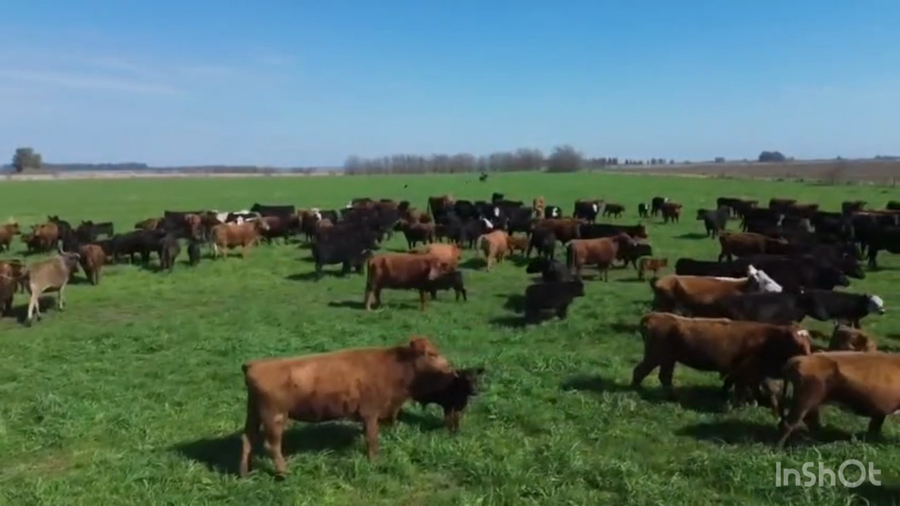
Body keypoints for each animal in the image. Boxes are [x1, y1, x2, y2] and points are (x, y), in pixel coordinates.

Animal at [238, 336, 454, 477]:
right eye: (431, 354)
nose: (450, 367)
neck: (392, 366)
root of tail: (254, 365)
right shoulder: (370, 412)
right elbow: (372, 439)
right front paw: (375, 462)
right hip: (274, 417)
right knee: (272, 446)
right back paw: (283, 473)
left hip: (254, 414)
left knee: (247, 439)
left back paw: (244, 472)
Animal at [632, 312, 812, 406]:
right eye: (795, 341)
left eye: (808, 341)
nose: (807, 354)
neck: (769, 339)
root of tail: (655, 316)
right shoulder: (747, 371)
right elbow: (744, 388)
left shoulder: (745, 372)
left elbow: (737, 384)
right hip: (655, 356)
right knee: (640, 371)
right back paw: (636, 389)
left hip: (668, 359)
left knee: (664, 377)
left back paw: (673, 395)